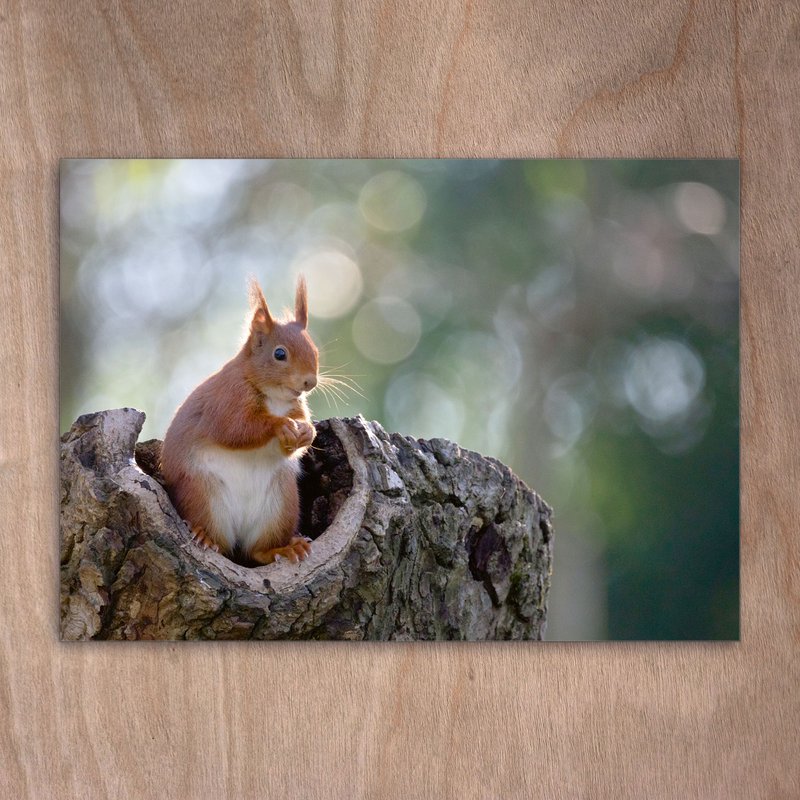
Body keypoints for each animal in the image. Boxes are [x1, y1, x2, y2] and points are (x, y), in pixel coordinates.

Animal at [160, 276, 318, 565]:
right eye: (280, 354)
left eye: (314, 349)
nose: (309, 382)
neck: (275, 398)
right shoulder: (227, 399)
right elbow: (235, 430)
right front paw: (280, 426)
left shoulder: (296, 407)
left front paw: (306, 432)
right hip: (203, 495)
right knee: (219, 542)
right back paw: (205, 537)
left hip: (280, 504)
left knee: (255, 551)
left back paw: (283, 549)